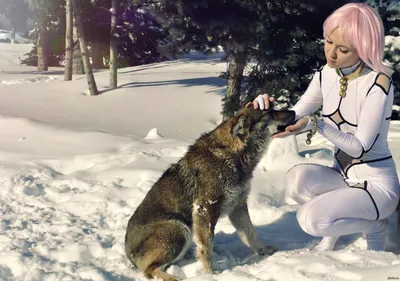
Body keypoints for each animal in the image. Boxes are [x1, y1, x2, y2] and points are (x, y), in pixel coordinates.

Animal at [126, 106, 296, 278]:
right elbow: (206, 247)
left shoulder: (238, 205)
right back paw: (176, 277)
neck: (232, 155)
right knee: (150, 270)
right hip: (179, 228)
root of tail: (129, 255)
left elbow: (250, 233)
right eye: (269, 113)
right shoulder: (205, 208)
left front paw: (263, 250)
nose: (294, 112)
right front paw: (211, 273)